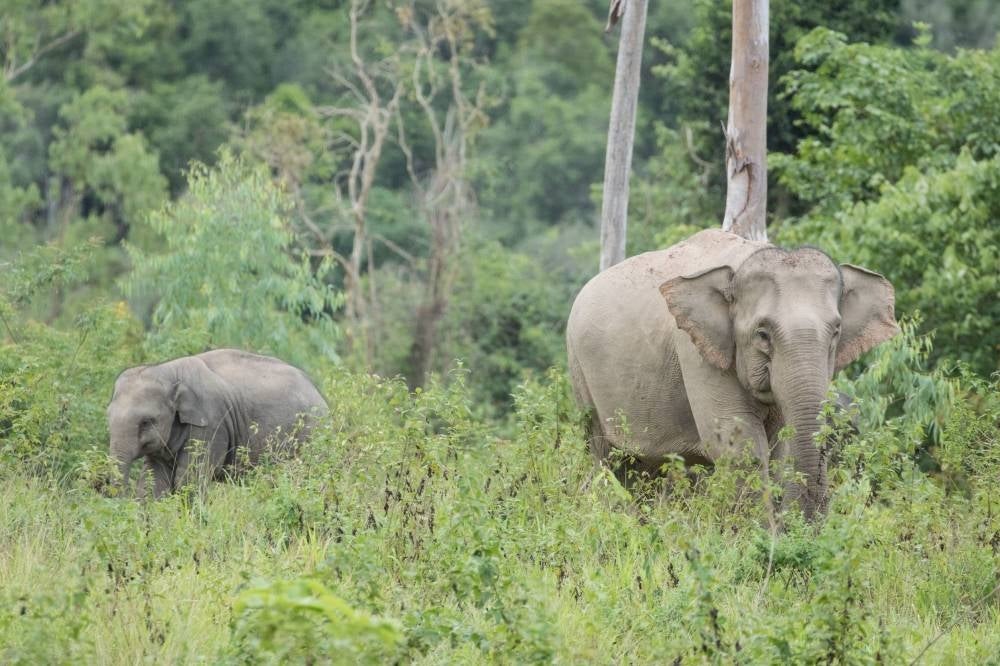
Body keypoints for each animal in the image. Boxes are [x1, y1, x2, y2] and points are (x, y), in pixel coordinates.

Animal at [106, 349, 328, 498]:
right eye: (107, 418)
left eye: (146, 421)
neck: (169, 371)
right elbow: (154, 479)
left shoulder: (211, 424)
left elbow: (189, 479)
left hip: (310, 434)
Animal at [566, 229, 898, 519]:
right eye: (763, 334)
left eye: (836, 331)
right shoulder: (696, 349)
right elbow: (738, 446)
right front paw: (762, 539)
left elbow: (779, 448)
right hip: (579, 371)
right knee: (607, 457)